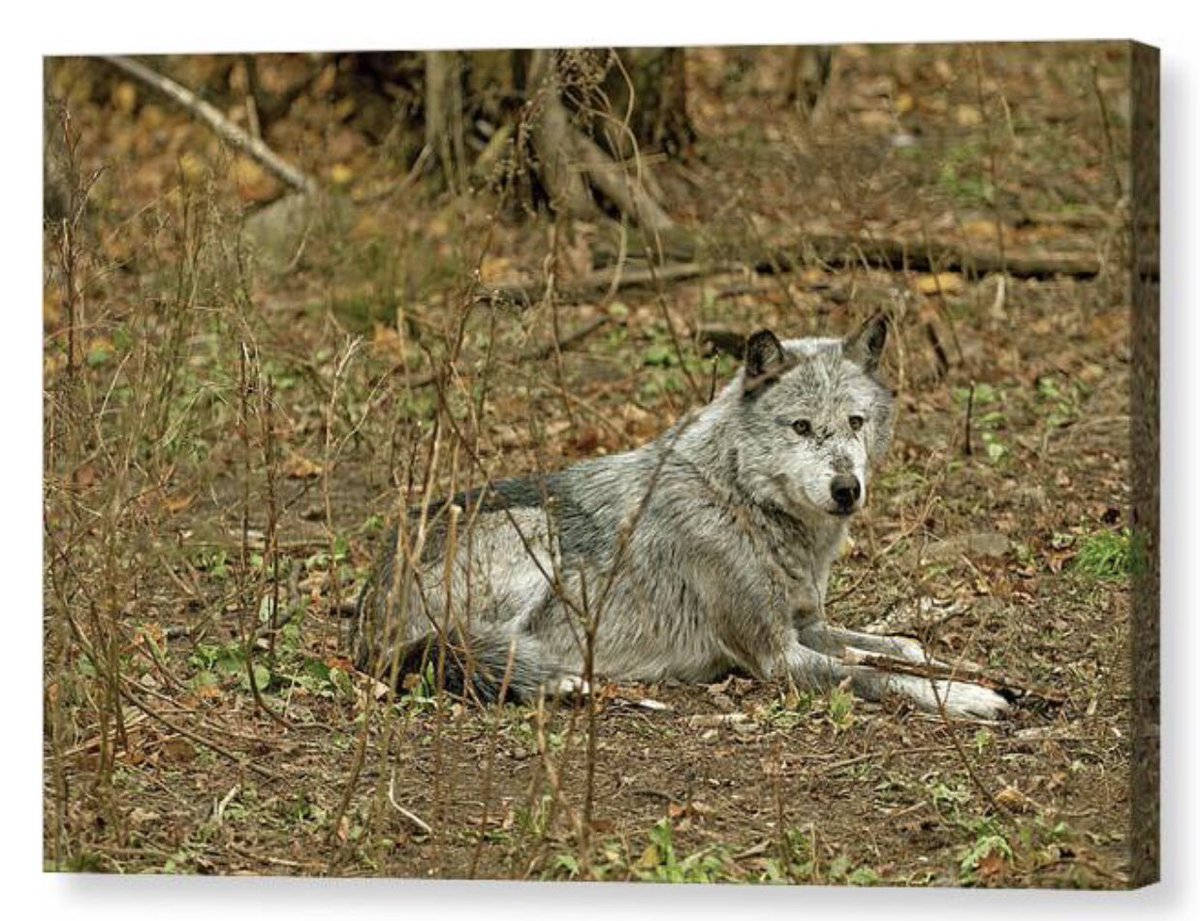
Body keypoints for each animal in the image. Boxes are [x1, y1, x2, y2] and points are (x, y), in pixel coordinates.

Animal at [352, 314, 1010, 719]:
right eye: (800, 427)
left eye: (855, 422)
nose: (847, 488)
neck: (743, 501)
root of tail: (364, 618)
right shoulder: (777, 655)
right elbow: (879, 675)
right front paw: (969, 696)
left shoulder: (805, 624)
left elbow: (897, 646)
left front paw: (965, 664)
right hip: (537, 535)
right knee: (468, 649)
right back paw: (567, 679)